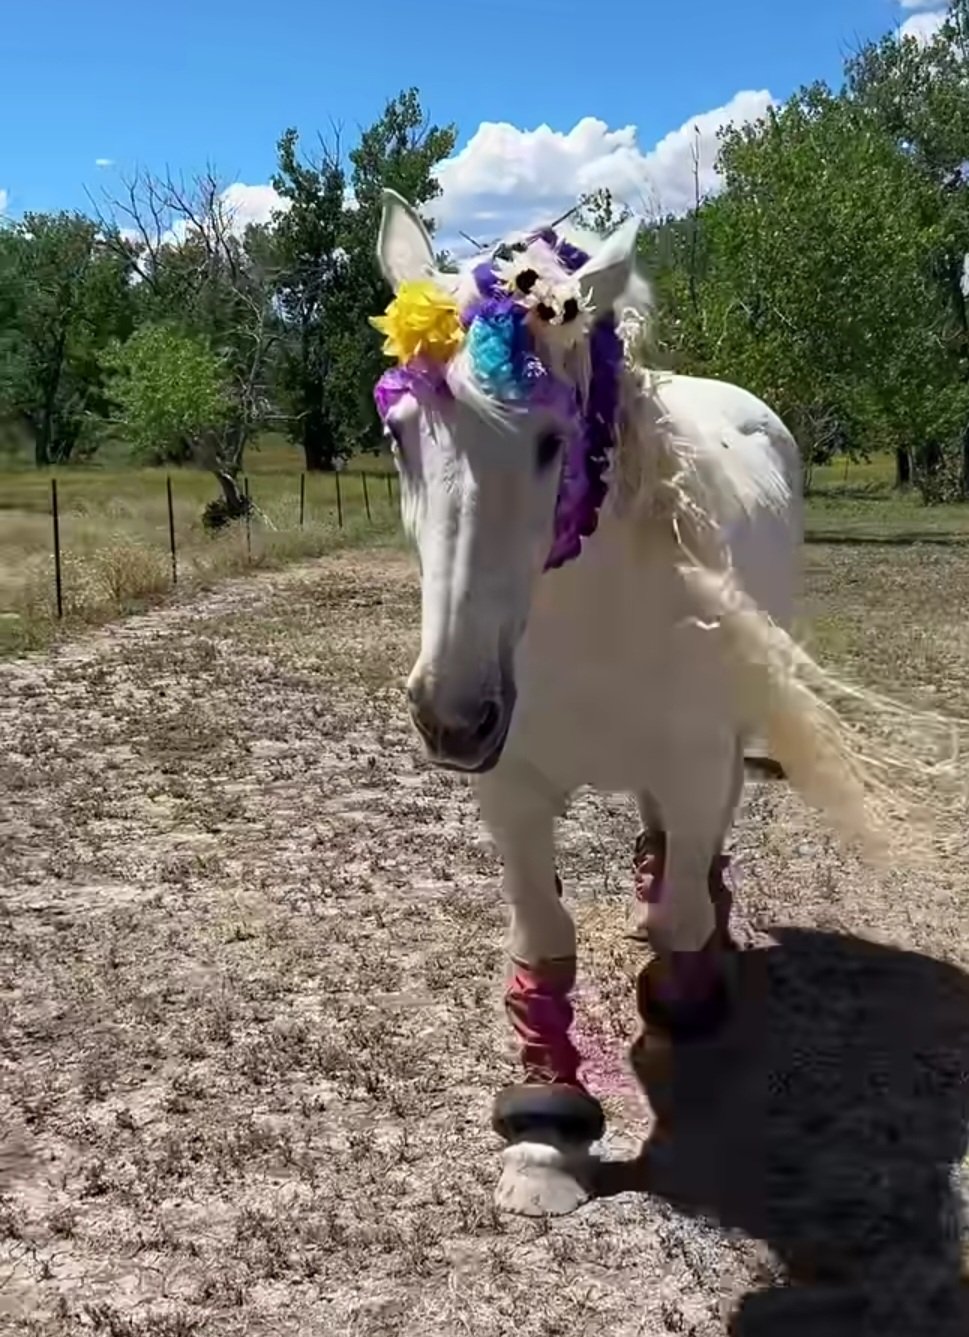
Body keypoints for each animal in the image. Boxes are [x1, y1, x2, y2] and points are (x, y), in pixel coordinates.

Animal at [368, 188, 953, 1218]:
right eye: (400, 435)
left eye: (553, 441)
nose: (452, 716)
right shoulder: (511, 791)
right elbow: (542, 939)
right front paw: (547, 1131)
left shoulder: (692, 762)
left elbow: (682, 911)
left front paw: (684, 997)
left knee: (700, 845)